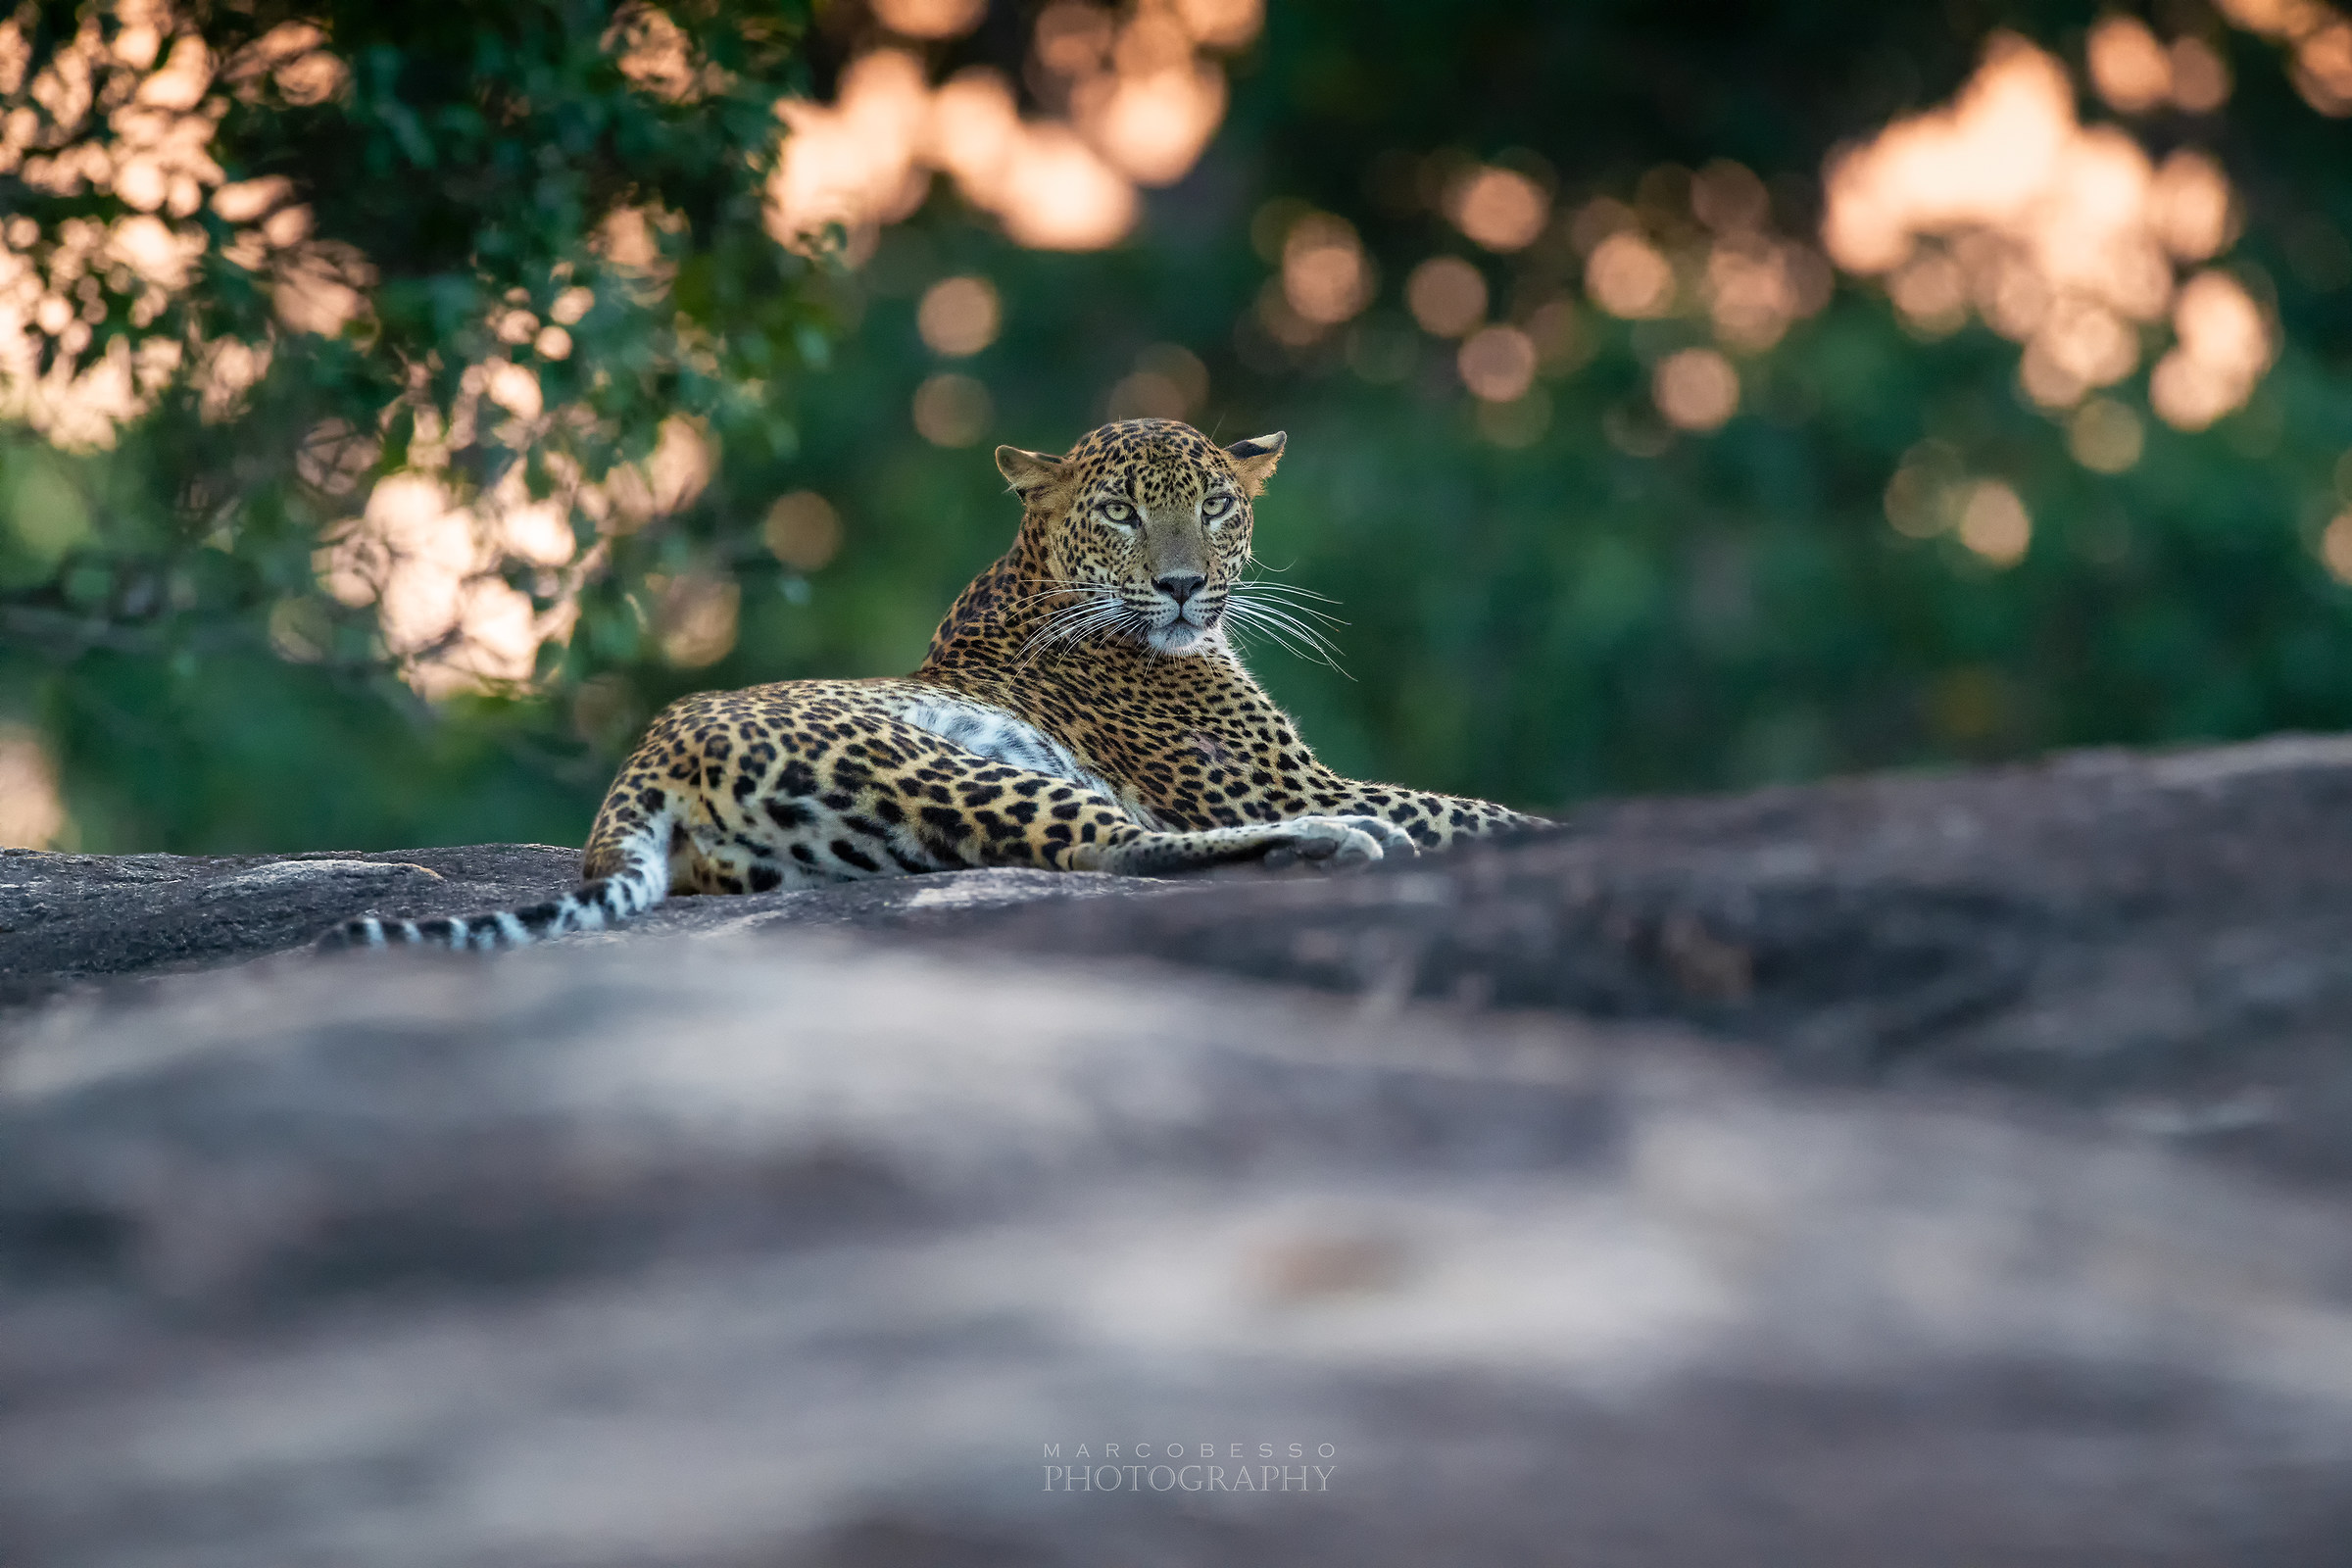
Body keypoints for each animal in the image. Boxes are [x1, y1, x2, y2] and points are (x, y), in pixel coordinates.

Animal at [323, 418, 1544, 950]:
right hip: (946, 764)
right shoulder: (1268, 779)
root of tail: (651, 751)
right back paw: (1339, 844)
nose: (1186, 586)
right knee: (1114, 850)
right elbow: (1476, 810)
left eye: (1218, 507)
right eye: (1122, 512)